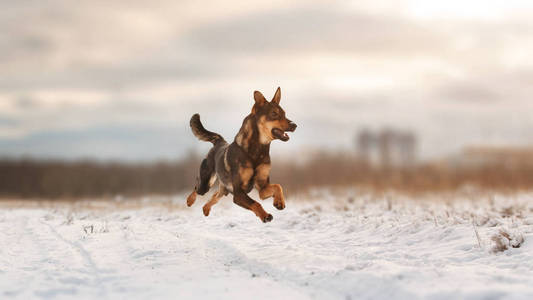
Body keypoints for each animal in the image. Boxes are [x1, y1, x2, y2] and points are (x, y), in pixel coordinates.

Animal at [186, 87, 296, 223]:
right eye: (274, 114)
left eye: (284, 114)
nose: (294, 125)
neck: (256, 152)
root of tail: (219, 141)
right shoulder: (238, 193)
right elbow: (256, 203)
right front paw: (265, 216)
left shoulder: (262, 188)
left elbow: (278, 186)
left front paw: (279, 202)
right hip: (206, 182)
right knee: (197, 188)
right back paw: (189, 201)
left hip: (224, 190)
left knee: (214, 197)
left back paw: (206, 209)